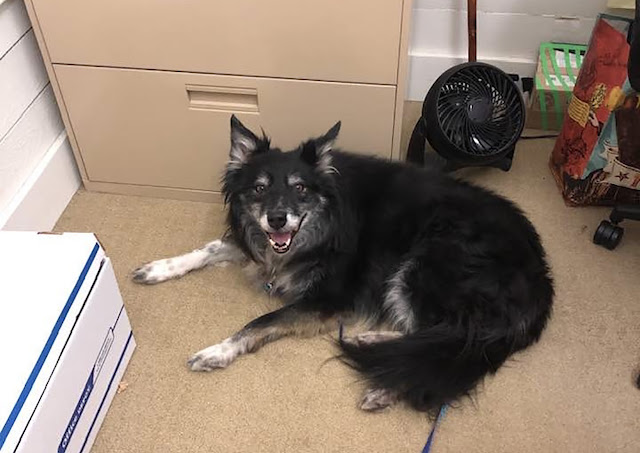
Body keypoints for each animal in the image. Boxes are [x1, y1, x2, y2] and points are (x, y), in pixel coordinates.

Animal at [132, 115, 552, 412]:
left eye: (300, 188)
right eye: (260, 188)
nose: (277, 220)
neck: (323, 223)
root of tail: (542, 280)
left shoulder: (329, 298)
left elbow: (260, 322)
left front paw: (218, 351)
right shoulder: (259, 244)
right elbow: (207, 249)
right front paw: (159, 268)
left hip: (423, 265)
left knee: (448, 342)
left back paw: (385, 386)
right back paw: (371, 342)